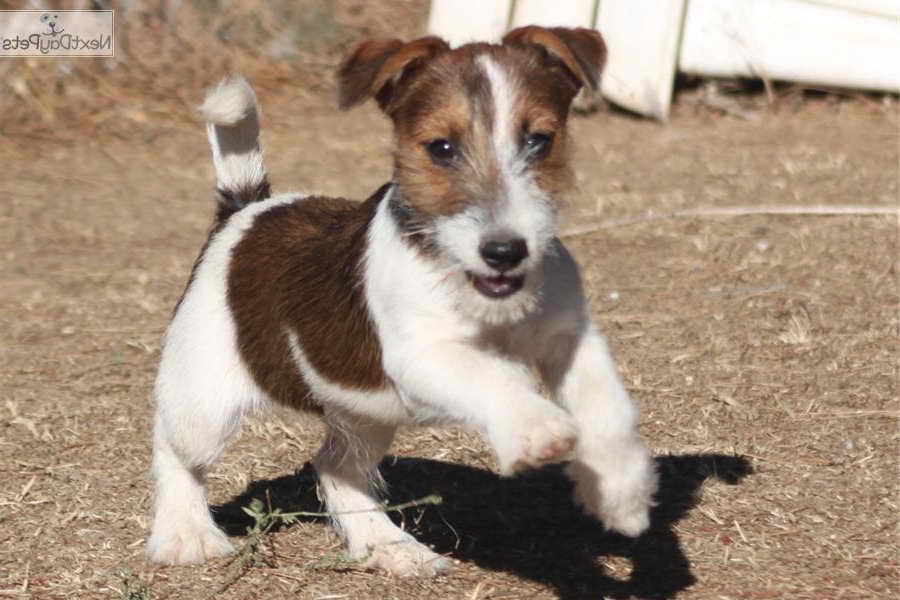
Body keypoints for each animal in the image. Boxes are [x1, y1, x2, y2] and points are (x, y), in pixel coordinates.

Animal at [146, 27, 652, 576]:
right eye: (442, 148)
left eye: (539, 140)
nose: (505, 252)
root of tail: (245, 209)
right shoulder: (419, 356)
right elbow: (492, 376)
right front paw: (535, 428)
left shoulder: (570, 337)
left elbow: (607, 407)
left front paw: (622, 492)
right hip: (203, 403)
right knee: (174, 449)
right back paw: (185, 534)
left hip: (364, 412)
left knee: (336, 466)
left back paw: (386, 544)